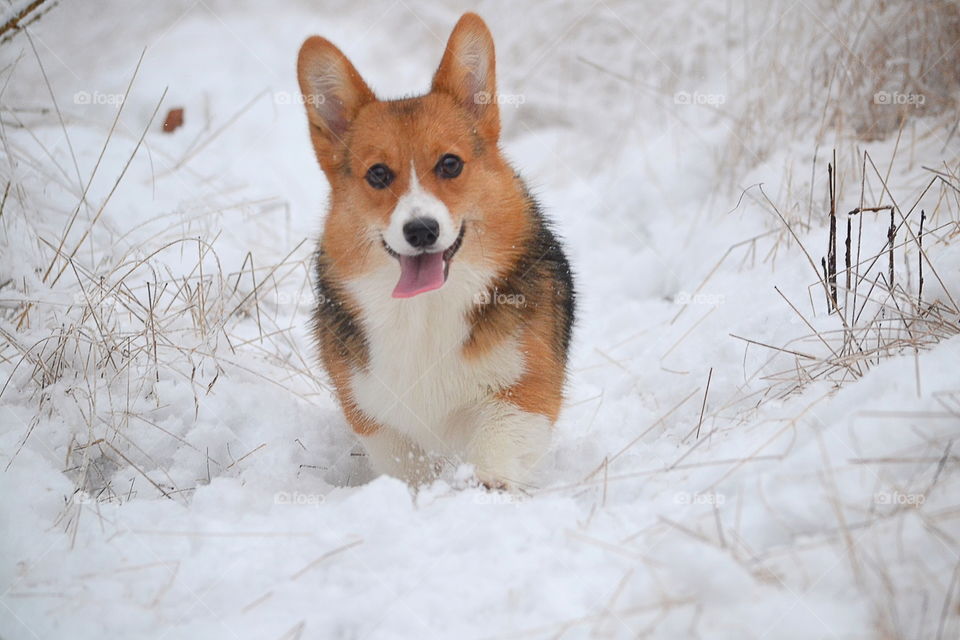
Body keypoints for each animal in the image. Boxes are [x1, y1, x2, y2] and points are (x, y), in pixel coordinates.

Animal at [296, 12, 572, 488]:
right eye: (378, 174)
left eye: (450, 164)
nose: (421, 230)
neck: (425, 311)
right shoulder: (373, 411)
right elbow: (406, 465)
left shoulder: (526, 388)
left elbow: (501, 438)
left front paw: (488, 488)